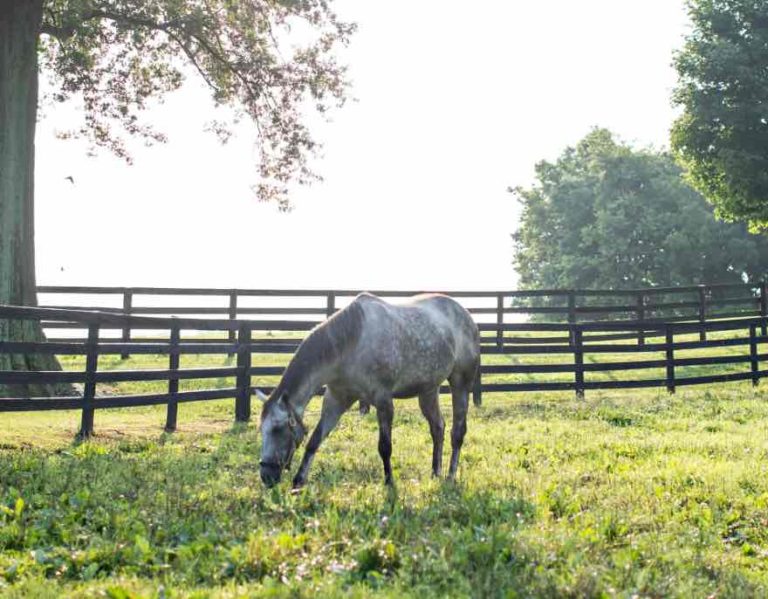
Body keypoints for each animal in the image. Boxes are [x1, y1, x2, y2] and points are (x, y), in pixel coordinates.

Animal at [258, 292, 480, 490]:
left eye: (278, 428)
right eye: (262, 430)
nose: (266, 476)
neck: (352, 343)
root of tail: (466, 316)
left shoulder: (383, 400)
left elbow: (385, 447)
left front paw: (389, 483)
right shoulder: (336, 400)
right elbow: (314, 440)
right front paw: (298, 483)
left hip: (460, 383)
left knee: (457, 432)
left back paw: (450, 476)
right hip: (428, 391)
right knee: (437, 428)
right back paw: (435, 473)